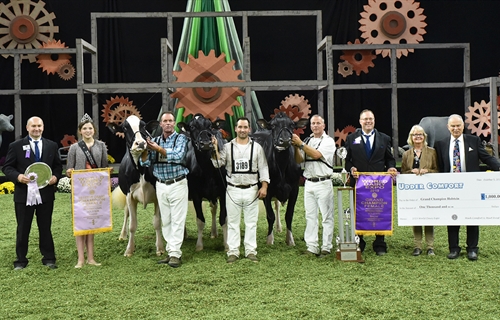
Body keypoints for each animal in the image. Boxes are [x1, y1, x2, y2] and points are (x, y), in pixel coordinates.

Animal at [107, 115, 164, 258]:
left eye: (143, 125)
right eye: (124, 128)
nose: (141, 143)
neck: (141, 170)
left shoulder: (158, 195)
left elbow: (157, 223)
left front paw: (160, 248)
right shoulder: (130, 196)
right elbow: (132, 225)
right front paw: (129, 250)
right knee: (126, 213)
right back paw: (122, 235)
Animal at [178, 114, 229, 251]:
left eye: (210, 126)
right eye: (192, 127)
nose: (206, 143)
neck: (208, 170)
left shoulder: (223, 192)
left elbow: (223, 218)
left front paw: (227, 244)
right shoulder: (195, 194)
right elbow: (200, 220)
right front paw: (199, 245)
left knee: (213, 208)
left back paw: (214, 233)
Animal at [250, 112, 308, 245]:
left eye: (292, 125)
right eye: (273, 126)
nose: (285, 140)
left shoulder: (294, 189)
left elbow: (289, 215)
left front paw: (290, 240)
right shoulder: (267, 189)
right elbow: (270, 215)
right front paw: (269, 240)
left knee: (276, 205)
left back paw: (278, 227)